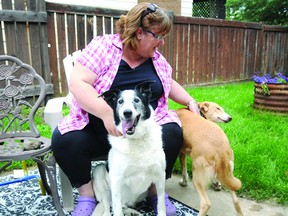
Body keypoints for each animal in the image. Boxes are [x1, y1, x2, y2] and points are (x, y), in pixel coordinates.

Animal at [92, 80, 166, 216]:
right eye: (120, 101)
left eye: (136, 100)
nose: (127, 113)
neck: (136, 139)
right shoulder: (116, 180)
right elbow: (117, 209)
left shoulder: (160, 175)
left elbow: (161, 203)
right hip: (99, 173)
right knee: (108, 206)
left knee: (124, 206)